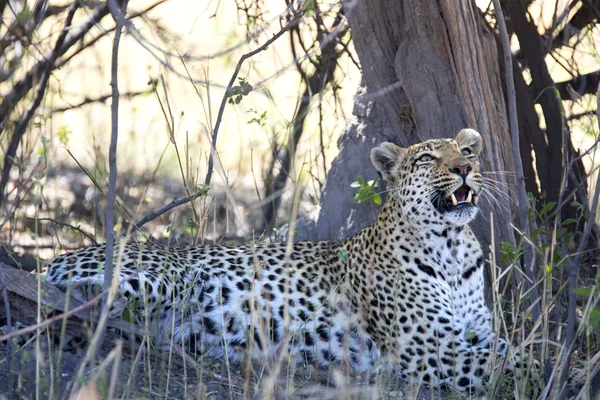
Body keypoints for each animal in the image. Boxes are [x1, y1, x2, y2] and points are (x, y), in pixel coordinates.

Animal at [45, 128, 516, 390]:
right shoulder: (429, 349)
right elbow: (506, 362)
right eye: (428, 158)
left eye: (467, 152)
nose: (463, 169)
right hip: (165, 275)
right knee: (76, 299)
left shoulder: (475, 334)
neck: (451, 249)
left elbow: (512, 349)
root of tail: (58, 257)